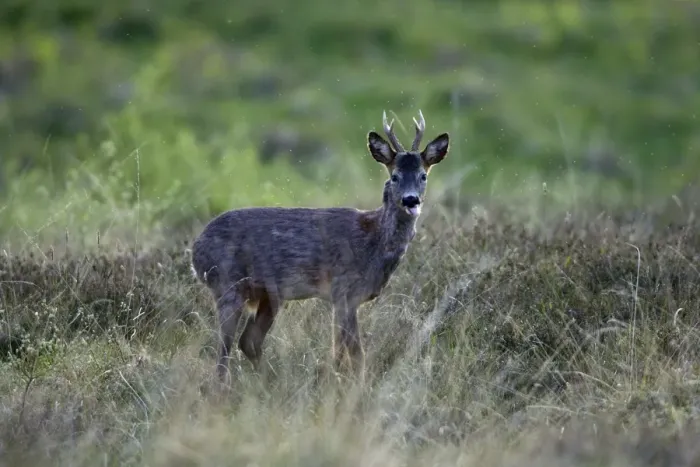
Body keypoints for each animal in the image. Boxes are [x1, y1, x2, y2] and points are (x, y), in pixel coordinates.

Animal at [191, 110, 450, 383]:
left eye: (423, 175)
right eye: (394, 176)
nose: (411, 200)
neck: (373, 243)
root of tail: (196, 250)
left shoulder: (346, 298)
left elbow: (343, 351)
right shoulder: (343, 290)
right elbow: (353, 353)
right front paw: (352, 385)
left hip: (268, 295)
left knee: (249, 341)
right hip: (227, 284)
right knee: (224, 351)